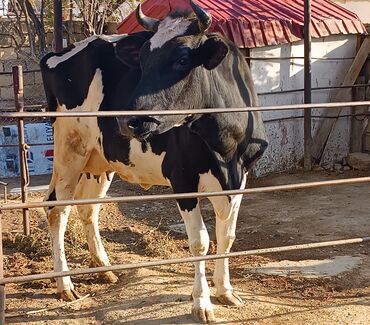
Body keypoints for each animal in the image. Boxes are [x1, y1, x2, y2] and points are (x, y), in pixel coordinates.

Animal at [40, 1, 268, 322]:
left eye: (183, 59)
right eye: (143, 61)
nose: (131, 120)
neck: (225, 146)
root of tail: (60, 52)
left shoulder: (241, 176)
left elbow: (227, 236)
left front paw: (225, 291)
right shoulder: (182, 177)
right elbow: (200, 240)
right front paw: (202, 302)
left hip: (100, 160)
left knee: (88, 208)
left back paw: (105, 268)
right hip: (69, 147)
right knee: (56, 209)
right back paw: (65, 285)